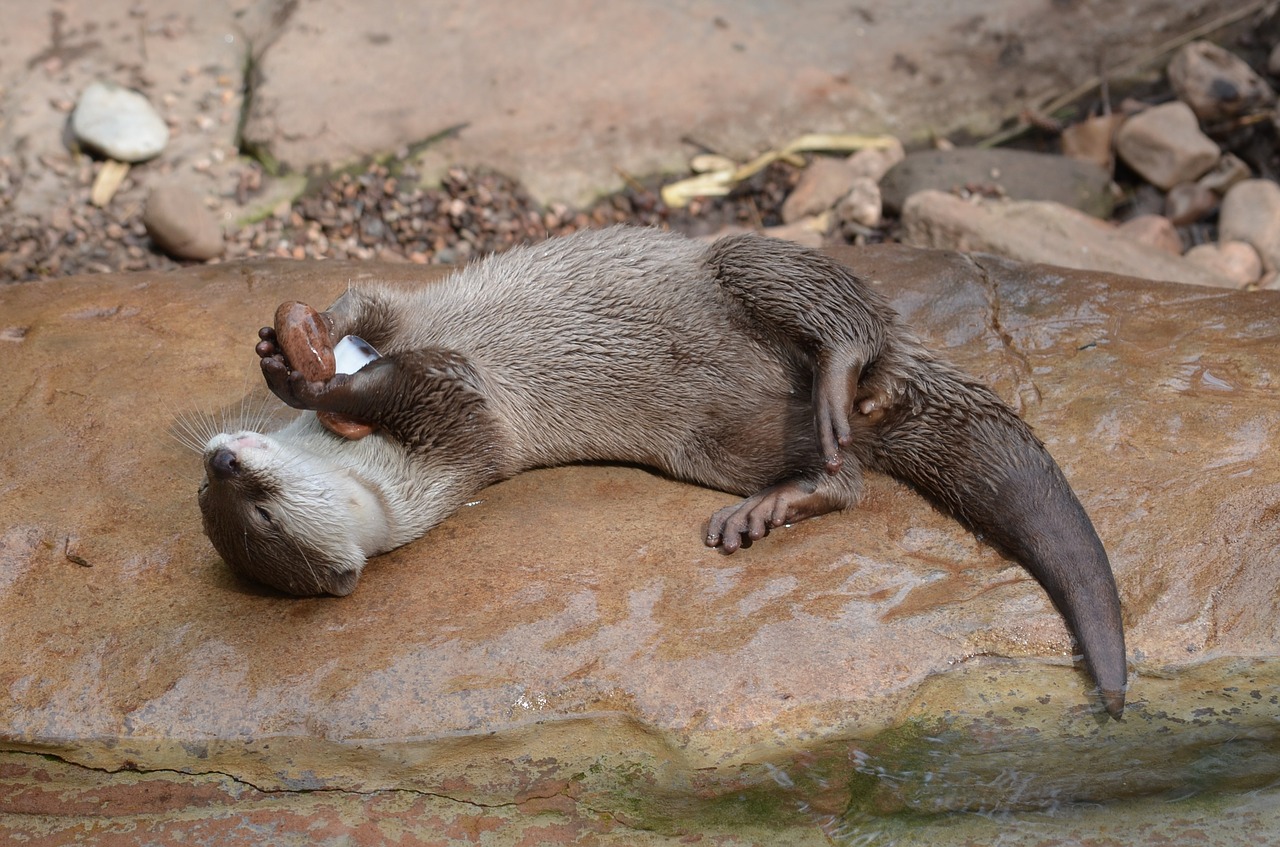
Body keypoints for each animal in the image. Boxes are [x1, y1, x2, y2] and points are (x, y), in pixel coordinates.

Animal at [194, 225, 1126, 716]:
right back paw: (779, 501)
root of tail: (879, 389)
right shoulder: (465, 435)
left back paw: (837, 373)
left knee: (835, 305)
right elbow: (424, 375)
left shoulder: (432, 362)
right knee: (845, 476)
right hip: (723, 440)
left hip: (744, 262)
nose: (220, 459)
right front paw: (311, 370)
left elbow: (372, 309)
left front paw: (293, 356)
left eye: (252, 499)